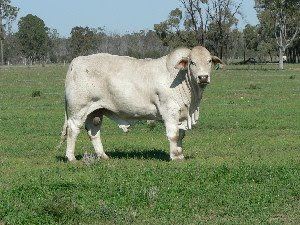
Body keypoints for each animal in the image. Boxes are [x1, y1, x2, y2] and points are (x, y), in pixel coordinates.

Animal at [59, 46, 223, 162]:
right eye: (192, 62)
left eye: (209, 61)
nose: (203, 77)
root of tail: (76, 62)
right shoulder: (169, 111)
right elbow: (173, 134)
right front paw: (175, 156)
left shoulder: (182, 114)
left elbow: (181, 135)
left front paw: (180, 154)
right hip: (78, 109)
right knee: (73, 130)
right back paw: (71, 157)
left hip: (95, 111)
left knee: (94, 131)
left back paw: (103, 155)